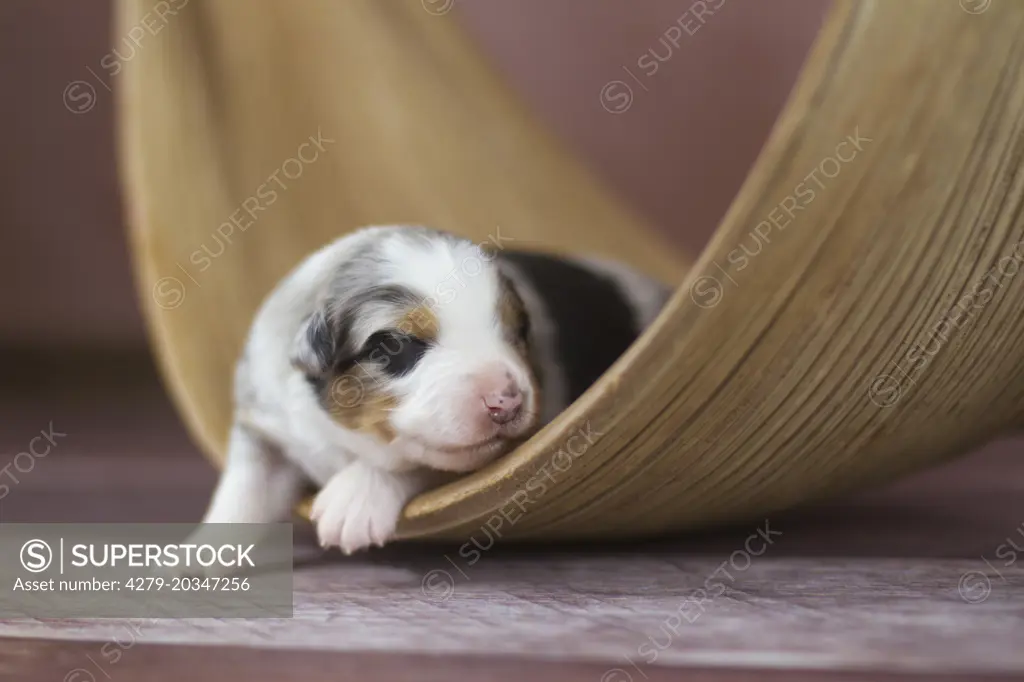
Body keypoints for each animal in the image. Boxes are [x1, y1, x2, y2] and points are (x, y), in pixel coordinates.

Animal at [197, 224, 671, 552]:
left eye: (518, 330)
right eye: (394, 344)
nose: (506, 400)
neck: (343, 439)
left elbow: (417, 462)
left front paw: (356, 497)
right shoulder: (267, 424)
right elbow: (242, 491)